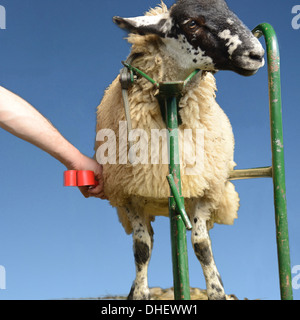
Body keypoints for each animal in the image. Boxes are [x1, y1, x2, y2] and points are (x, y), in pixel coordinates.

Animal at [94, 0, 264, 300]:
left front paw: (216, 291)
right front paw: (140, 294)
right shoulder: (130, 195)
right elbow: (142, 250)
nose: (257, 54)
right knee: (148, 239)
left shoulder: (206, 190)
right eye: (192, 23)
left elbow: (202, 246)